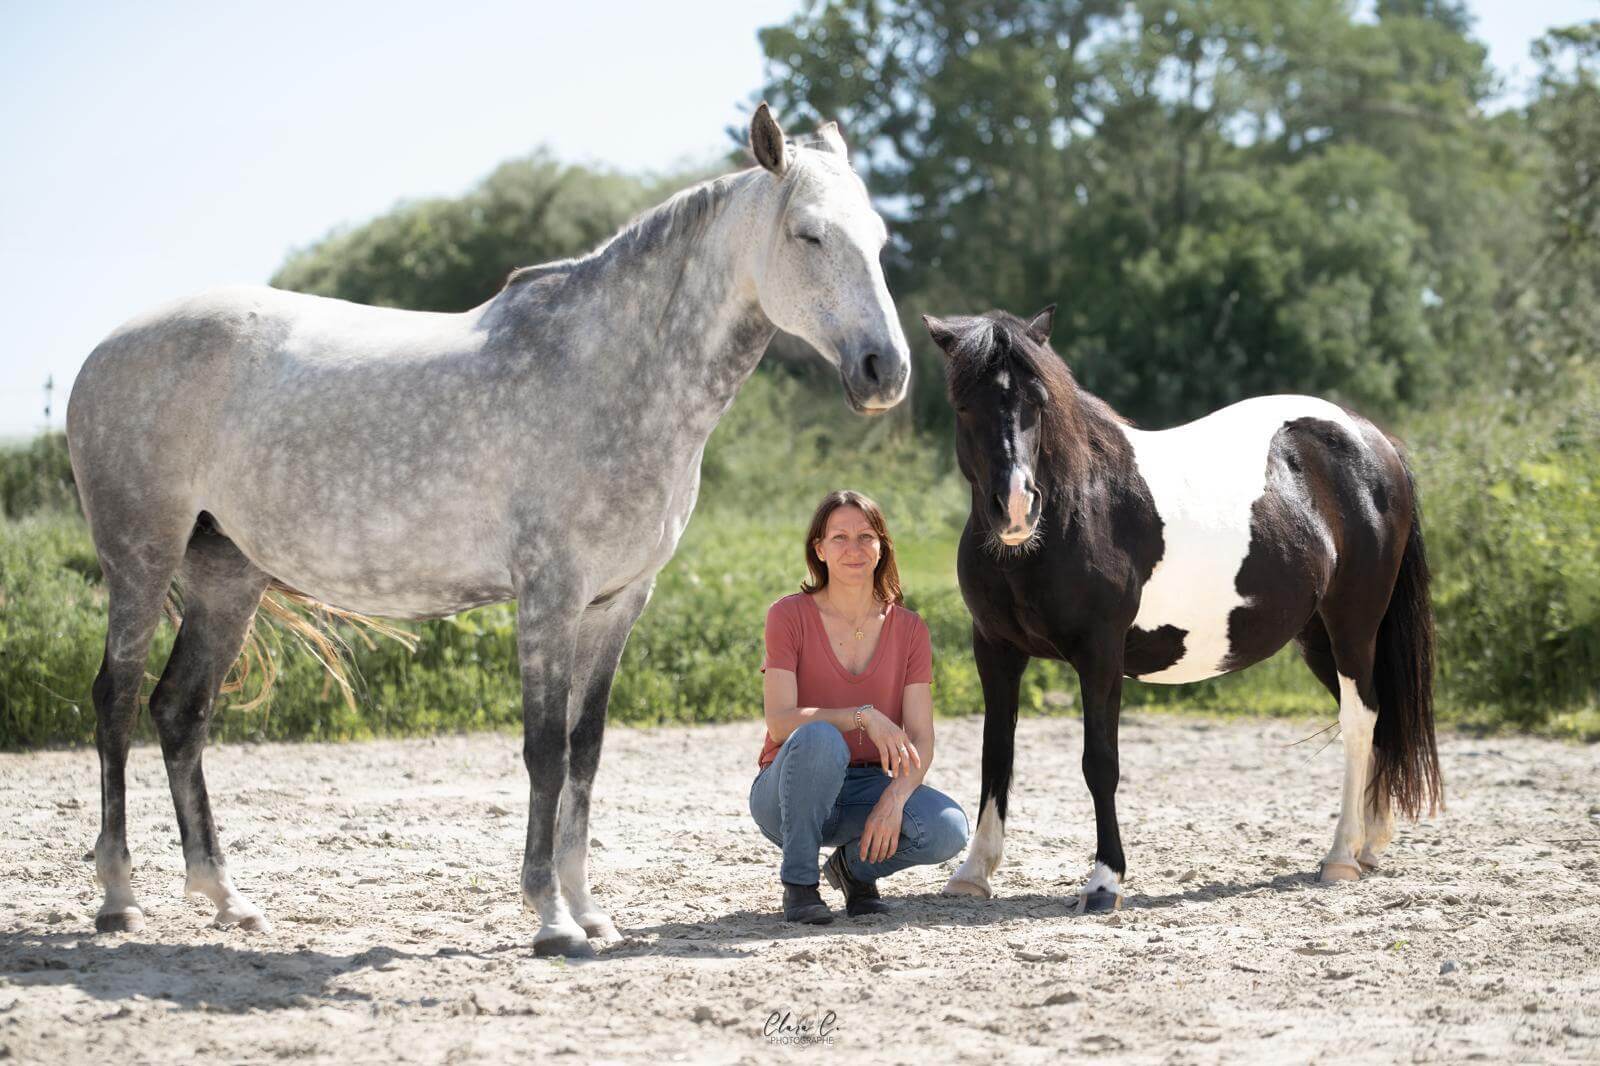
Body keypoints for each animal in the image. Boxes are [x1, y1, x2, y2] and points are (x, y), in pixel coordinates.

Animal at [65, 105, 910, 956]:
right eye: (808, 234)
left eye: (876, 238)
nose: (886, 370)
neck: (611, 373)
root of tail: (105, 349)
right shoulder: (548, 597)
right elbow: (544, 751)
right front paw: (551, 918)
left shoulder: (618, 602)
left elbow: (585, 751)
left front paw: (588, 909)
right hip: (141, 558)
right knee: (117, 702)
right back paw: (118, 899)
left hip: (225, 575)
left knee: (180, 713)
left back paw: (225, 898)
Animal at [923, 306, 1440, 912]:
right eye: (964, 405)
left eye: (1038, 402)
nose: (1016, 507)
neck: (1076, 506)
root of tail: (1374, 441)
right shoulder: (995, 650)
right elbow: (995, 755)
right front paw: (973, 873)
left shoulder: (1099, 654)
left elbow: (1100, 763)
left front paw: (1104, 882)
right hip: (1317, 638)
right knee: (1375, 717)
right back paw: (1368, 845)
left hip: (1352, 625)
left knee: (1360, 721)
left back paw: (1339, 857)